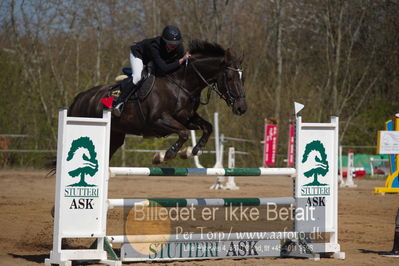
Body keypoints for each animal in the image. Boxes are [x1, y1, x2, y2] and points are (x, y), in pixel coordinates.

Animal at [68, 39, 247, 163]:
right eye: (230, 78)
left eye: (242, 78)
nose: (242, 109)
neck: (181, 84)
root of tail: (79, 98)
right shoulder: (157, 120)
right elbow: (183, 133)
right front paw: (167, 154)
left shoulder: (187, 118)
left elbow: (207, 127)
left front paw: (193, 151)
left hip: (115, 136)